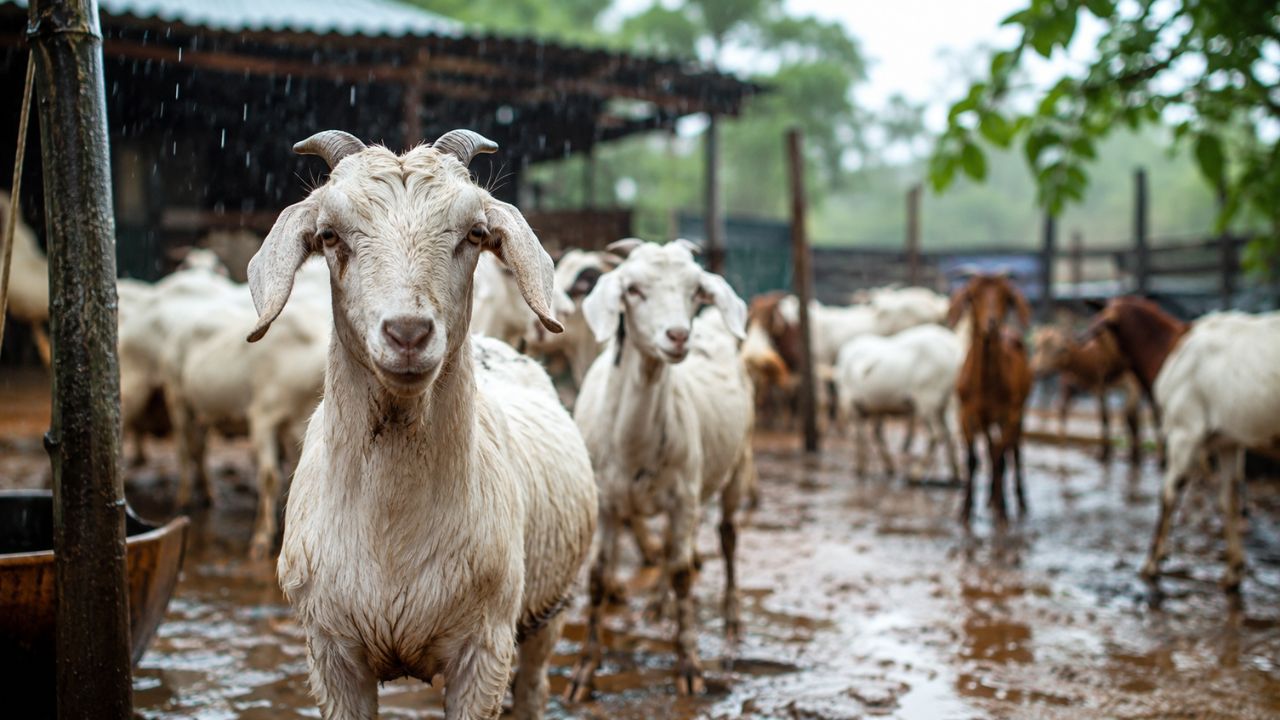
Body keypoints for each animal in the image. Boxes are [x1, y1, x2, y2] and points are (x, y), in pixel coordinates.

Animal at [250, 129, 596, 720]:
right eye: (328, 235)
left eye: (475, 233)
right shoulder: (330, 654)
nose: (408, 332)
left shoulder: (485, 648)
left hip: (550, 609)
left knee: (533, 687)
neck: (393, 530)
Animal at [566, 238, 753, 700]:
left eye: (695, 290)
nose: (678, 335)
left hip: (736, 465)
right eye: (633, 289)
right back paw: (656, 606)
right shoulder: (607, 504)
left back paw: (731, 617)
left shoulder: (683, 497)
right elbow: (598, 578)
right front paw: (584, 670)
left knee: (726, 538)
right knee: (672, 549)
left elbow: (685, 573)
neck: (634, 445)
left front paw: (689, 665)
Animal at [949, 274, 1033, 525]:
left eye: (1006, 296)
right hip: (986, 419)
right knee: (989, 446)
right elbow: (972, 459)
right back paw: (989, 498)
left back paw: (1018, 499)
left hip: (1020, 411)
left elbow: (1000, 458)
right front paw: (965, 510)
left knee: (1013, 450)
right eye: (973, 295)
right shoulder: (966, 413)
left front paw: (1002, 510)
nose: (991, 323)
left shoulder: (1010, 414)